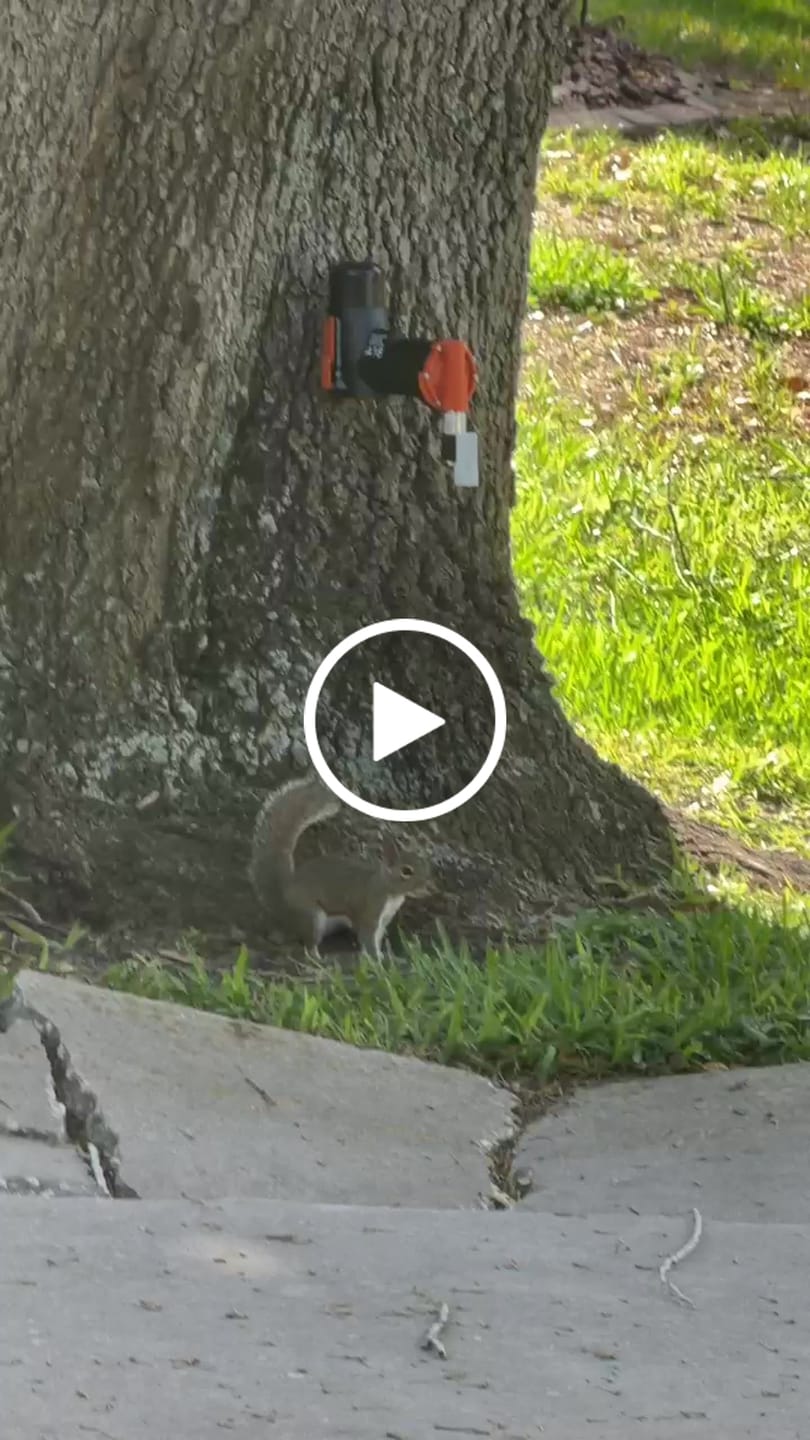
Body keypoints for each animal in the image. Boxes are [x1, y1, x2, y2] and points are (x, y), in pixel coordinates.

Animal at [249, 774, 432, 960]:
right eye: (406, 871)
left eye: (424, 863)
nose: (426, 885)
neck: (389, 891)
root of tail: (283, 900)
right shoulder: (369, 910)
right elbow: (368, 937)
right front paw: (376, 959)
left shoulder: (384, 920)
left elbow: (378, 936)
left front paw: (383, 955)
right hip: (311, 915)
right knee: (308, 943)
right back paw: (317, 957)